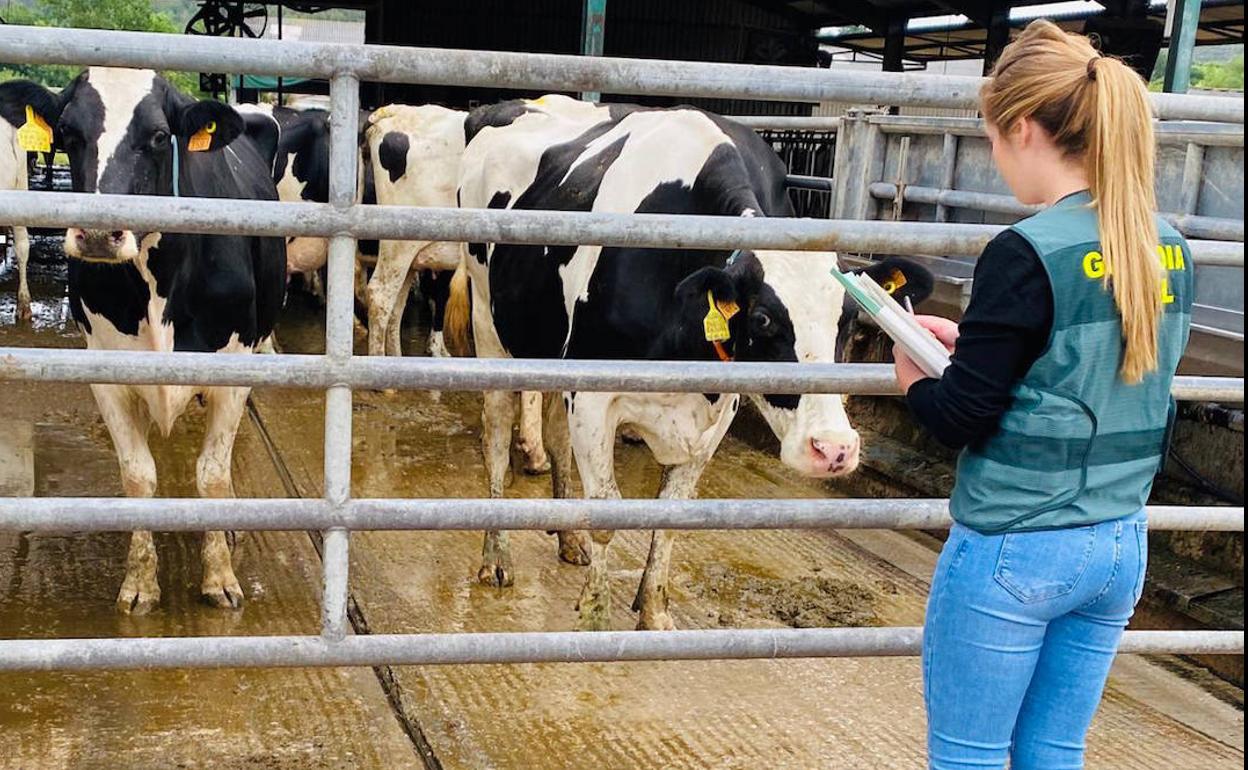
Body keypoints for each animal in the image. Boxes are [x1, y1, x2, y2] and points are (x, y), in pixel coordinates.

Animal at [1, 70, 287, 611]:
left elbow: (211, 473)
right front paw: (140, 581)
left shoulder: (233, 368)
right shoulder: (108, 373)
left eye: (158, 136)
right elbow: (139, 474)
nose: (97, 234)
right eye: (67, 133)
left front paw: (220, 574)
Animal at [444, 100, 933, 631]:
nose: (834, 449)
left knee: (553, 434)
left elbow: (672, 516)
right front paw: (594, 618)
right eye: (762, 319)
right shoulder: (593, 397)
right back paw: (496, 556)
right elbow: (607, 513)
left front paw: (655, 613)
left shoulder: (717, 410)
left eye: (849, 320)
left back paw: (568, 537)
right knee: (496, 436)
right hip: (489, 323)